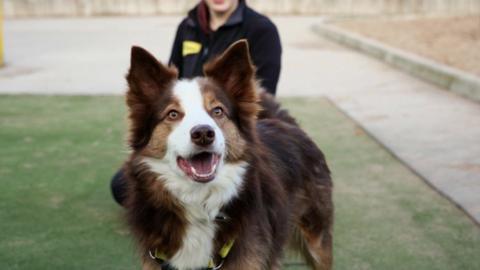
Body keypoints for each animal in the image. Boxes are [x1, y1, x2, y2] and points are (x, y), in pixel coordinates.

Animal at [124, 40, 334, 270]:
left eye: (217, 111)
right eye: (173, 114)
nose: (203, 134)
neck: (199, 205)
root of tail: (287, 124)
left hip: (317, 240)